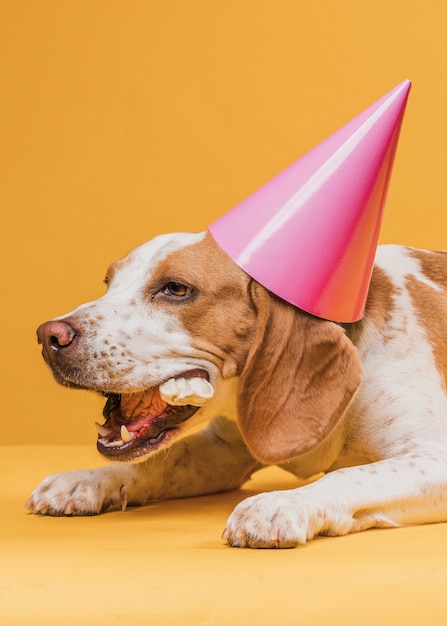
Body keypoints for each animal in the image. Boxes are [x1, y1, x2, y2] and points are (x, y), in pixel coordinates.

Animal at [27, 230, 447, 544]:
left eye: (176, 289)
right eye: (108, 283)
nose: (49, 337)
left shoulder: (432, 458)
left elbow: (349, 475)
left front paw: (281, 504)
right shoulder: (223, 450)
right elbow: (161, 461)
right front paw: (86, 480)